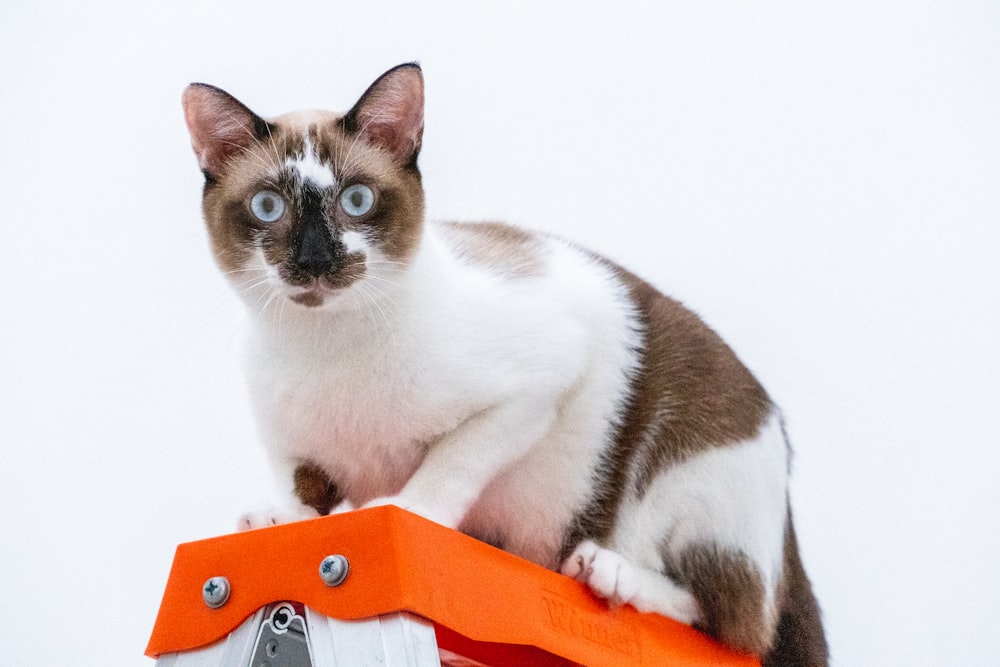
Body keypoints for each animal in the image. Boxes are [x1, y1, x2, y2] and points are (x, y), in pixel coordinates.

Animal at [180, 64, 828, 667]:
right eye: (268, 207)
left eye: (356, 200)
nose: (315, 261)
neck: (323, 345)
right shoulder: (290, 445)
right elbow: (303, 494)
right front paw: (280, 520)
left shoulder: (539, 384)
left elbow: (449, 467)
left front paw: (401, 510)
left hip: (690, 477)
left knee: (734, 621)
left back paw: (608, 571)